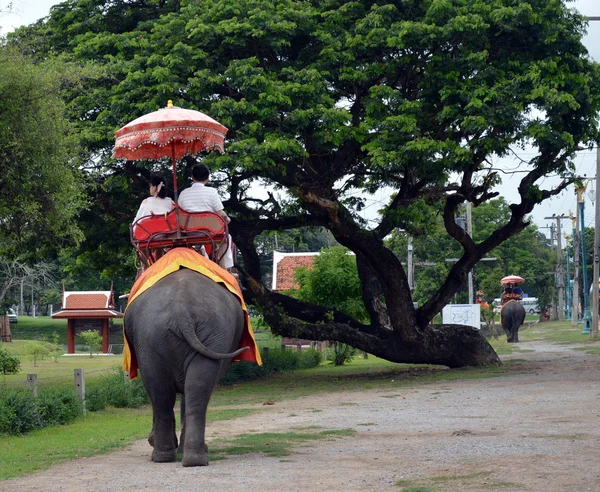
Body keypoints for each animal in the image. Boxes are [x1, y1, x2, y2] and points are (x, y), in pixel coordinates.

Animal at [123, 268, 248, 468]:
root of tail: (182, 311)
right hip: (209, 332)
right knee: (192, 391)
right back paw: (189, 457)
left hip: (151, 337)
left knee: (163, 392)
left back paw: (172, 457)